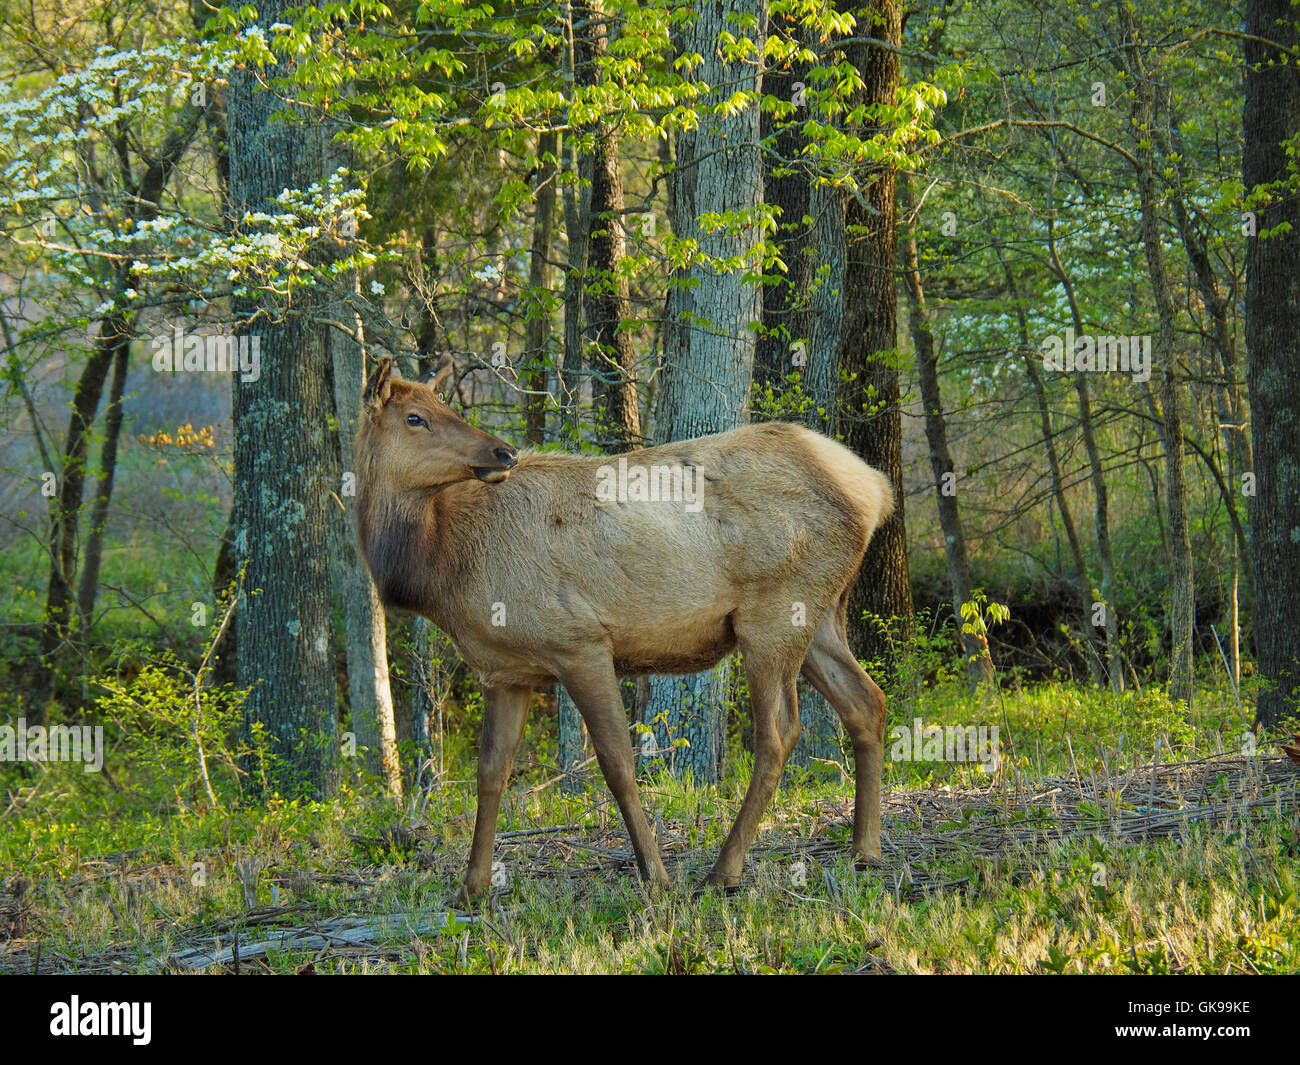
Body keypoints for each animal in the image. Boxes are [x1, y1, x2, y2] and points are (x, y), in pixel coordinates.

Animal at [356, 358, 894, 899]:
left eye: (440, 408)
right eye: (416, 417)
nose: (502, 451)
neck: (440, 565)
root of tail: (876, 488)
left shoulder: (579, 642)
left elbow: (617, 762)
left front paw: (655, 875)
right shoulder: (505, 672)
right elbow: (491, 771)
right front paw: (472, 887)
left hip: (774, 613)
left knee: (779, 732)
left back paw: (725, 868)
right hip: (819, 616)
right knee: (866, 701)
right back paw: (864, 850)